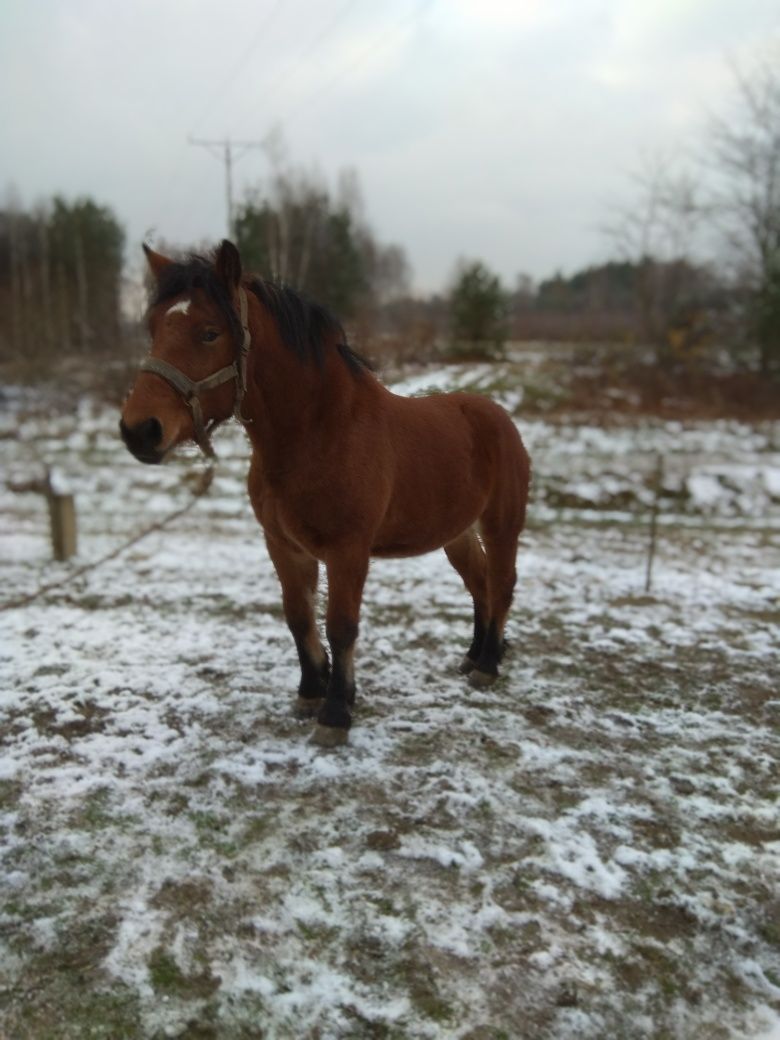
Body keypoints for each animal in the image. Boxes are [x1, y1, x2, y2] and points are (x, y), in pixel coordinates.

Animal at [122, 241, 536, 748]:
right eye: (153, 328)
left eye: (208, 332)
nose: (139, 430)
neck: (319, 434)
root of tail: (497, 414)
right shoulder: (284, 546)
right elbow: (298, 617)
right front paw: (310, 692)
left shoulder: (348, 550)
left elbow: (341, 626)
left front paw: (336, 712)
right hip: (455, 534)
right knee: (478, 584)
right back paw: (474, 655)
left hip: (501, 525)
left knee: (501, 583)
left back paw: (489, 664)